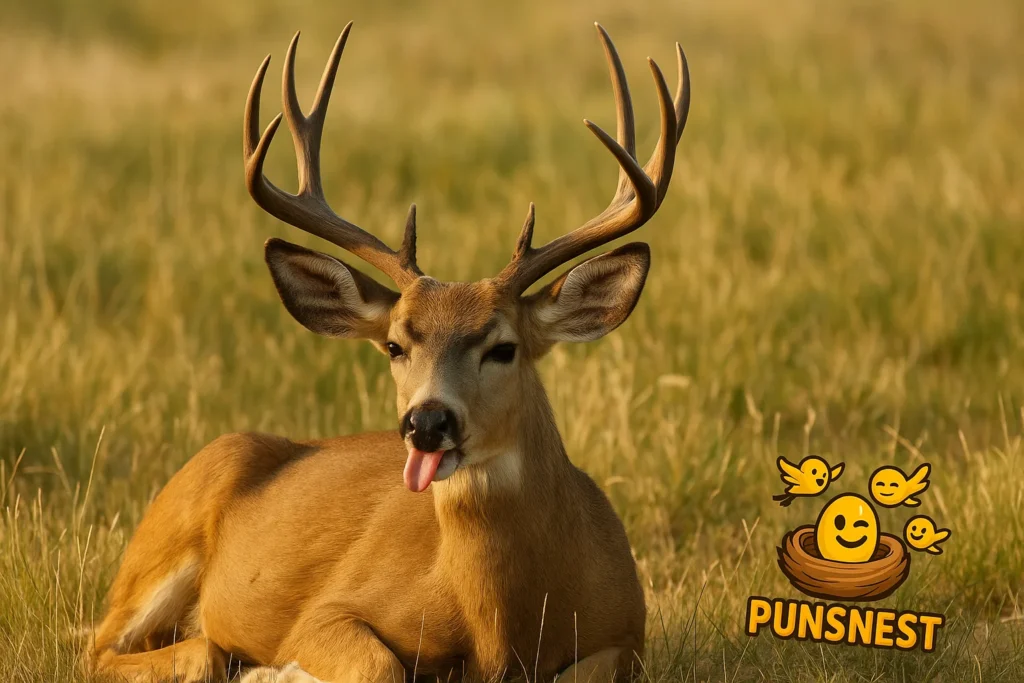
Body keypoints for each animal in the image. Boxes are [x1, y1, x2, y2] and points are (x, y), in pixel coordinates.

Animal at [86, 21, 689, 683]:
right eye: (396, 345)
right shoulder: (328, 611)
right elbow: (379, 665)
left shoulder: (626, 633)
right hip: (169, 527)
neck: (500, 630)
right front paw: (278, 669)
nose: (426, 421)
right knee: (112, 645)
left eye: (503, 348)